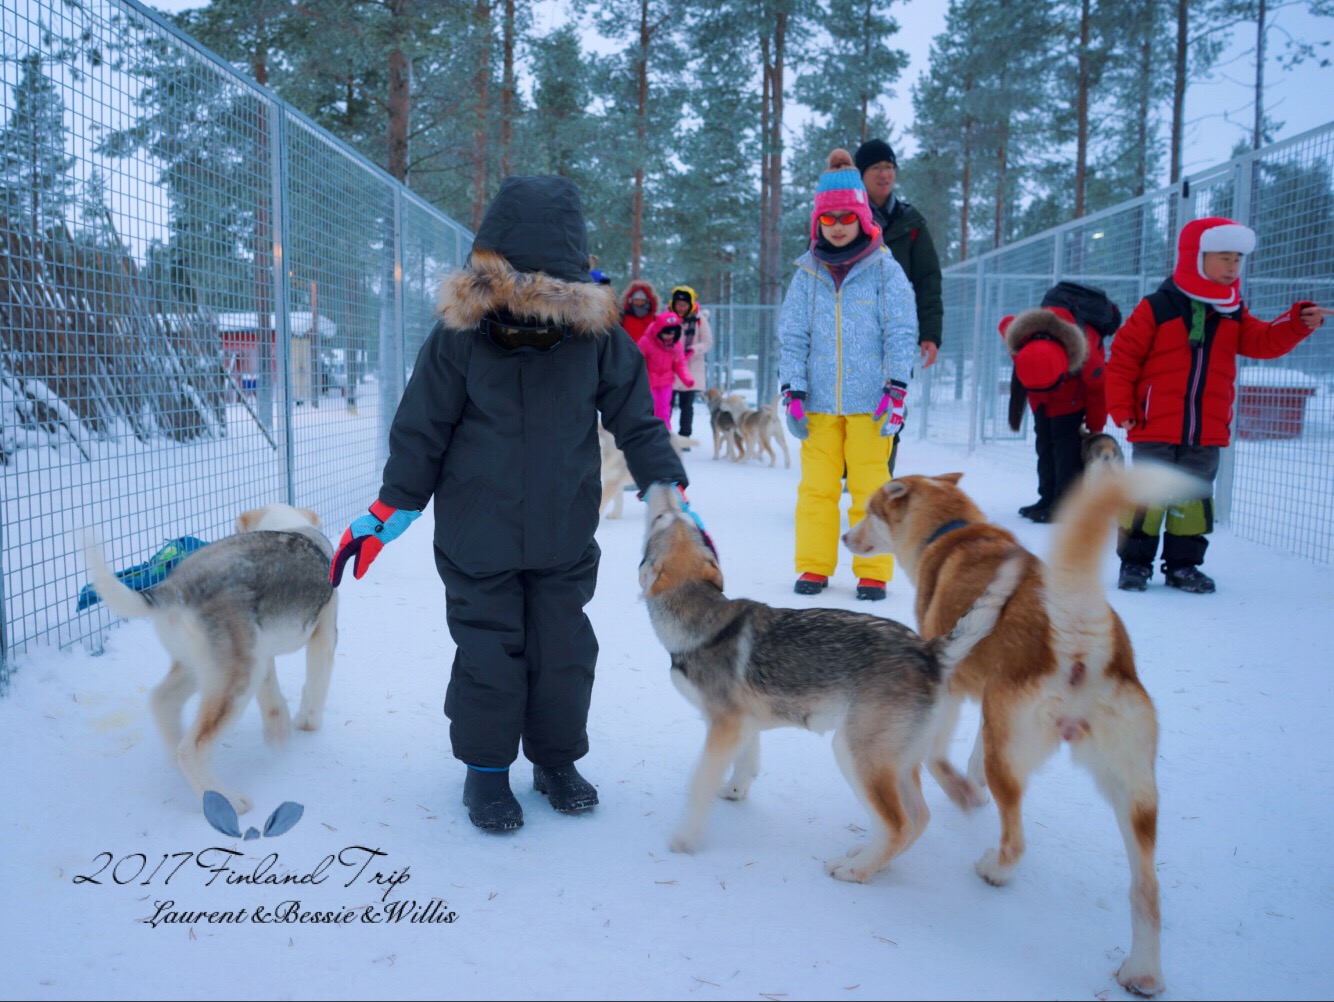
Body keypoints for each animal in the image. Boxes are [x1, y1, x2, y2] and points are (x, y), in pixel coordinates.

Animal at [82, 504, 336, 816]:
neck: (290, 525)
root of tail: (177, 586)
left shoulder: (262, 653)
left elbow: (272, 696)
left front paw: (279, 730)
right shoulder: (323, 636)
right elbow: (316, 683)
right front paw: (307, 723)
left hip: (209, 666)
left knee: (162, 700)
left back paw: (175, 752)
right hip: (236, 681)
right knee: (191, 749)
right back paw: (226, 800)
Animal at [634, 485, 1019, 885]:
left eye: (666, 518)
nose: (665, 486)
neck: (701, 619)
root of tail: (928, 651)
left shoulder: (724, 726)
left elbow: (698, 782)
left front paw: (686, 839)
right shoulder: (742, 724)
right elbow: (745, 764)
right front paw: (734, 792)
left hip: (854, 752)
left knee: (898, 825)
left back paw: (855, 869)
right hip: (897, 762)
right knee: (918, 820)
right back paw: (869, 858)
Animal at [843, 461, 1211, 997]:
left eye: (869, 511)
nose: (845, 537)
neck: (950, 531)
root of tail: (1082, 634)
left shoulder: (953, 686)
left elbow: (938, 755)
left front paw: (963, 792)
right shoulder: (987, 706)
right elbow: (969, 754)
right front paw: (968, 785)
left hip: (1014, 754)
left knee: (1015, 840)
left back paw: (993, 868)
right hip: (1132, 791)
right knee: (1147, 889)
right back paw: (1143, 973)